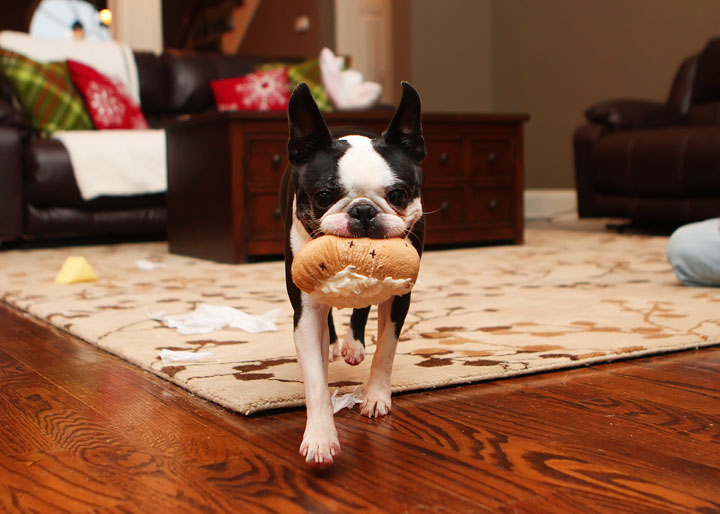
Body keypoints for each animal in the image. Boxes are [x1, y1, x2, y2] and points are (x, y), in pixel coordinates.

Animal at [280, 81, 428, 468]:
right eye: (324, 195)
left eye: (398, 195)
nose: (363, 210)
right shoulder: (305, 310)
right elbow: (315, 379)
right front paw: (320, 436)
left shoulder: (400, 297)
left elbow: (386, 350)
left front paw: (376, 395)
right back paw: (335, 344)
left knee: (362, 306)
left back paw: (353, 344)